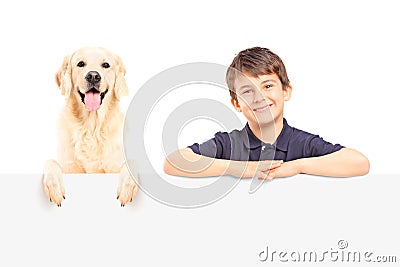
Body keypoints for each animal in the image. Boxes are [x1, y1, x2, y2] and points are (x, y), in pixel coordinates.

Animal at [42, 47, 138, 207]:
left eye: (106, 65)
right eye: (80, 63)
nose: (93, 76)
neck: (92, 128)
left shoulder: (113, 167)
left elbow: (131, 163)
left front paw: (126, 188)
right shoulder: (69, 168)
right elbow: (50, 162)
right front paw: (54, 187)